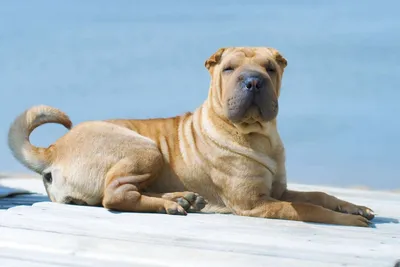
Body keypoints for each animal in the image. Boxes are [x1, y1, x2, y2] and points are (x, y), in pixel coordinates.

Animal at [7, 47, 376, 227]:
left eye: (271, 68)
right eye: (229, 69)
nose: (254, 80)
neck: (256, 135)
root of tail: (53, 148)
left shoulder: (278, 190)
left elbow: (319, 195)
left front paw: (355, 207)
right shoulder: (256, 202)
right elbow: (310, 209)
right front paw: (349, 220)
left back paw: (183, 198)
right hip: (145, 148)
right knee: (116, 196)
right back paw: (172, 204)